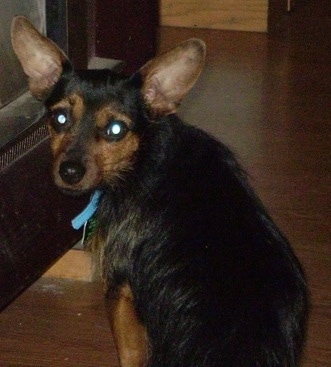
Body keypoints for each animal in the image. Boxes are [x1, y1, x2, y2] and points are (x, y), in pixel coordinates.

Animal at [11, 15, 310, 366]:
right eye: (59, 118)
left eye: (116, 129)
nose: (69, 171)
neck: (143, 157)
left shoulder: (120, 289)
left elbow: (131, 353)